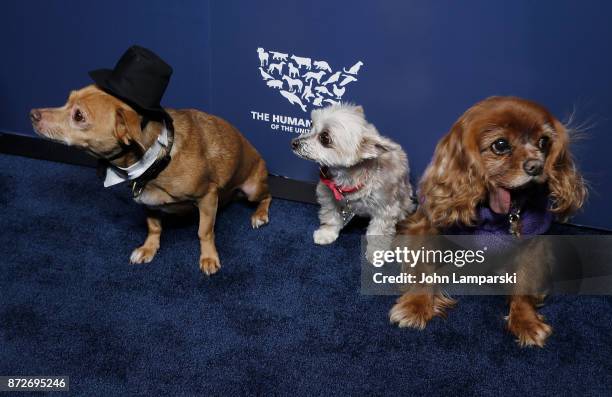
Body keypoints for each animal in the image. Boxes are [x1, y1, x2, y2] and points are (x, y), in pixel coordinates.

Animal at [31, 85, 270, 274]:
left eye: (79, 116)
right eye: (67, 99)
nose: (32, 113)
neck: (156, 160)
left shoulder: (208, 197)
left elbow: (204, 231)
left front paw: (209, 258)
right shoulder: (147, 202)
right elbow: (154, 227)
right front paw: (148, 248)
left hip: (253, 189)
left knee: (266, 197)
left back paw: (259, 215)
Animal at [292, 103, 416, 243]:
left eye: (324, 137)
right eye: (311, 125)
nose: (294, 143)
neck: (351, 178)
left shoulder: (385, 210)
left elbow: (377, 234)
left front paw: (375, 249)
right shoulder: (328, 194)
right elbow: (330, 215)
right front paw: (327, 233)